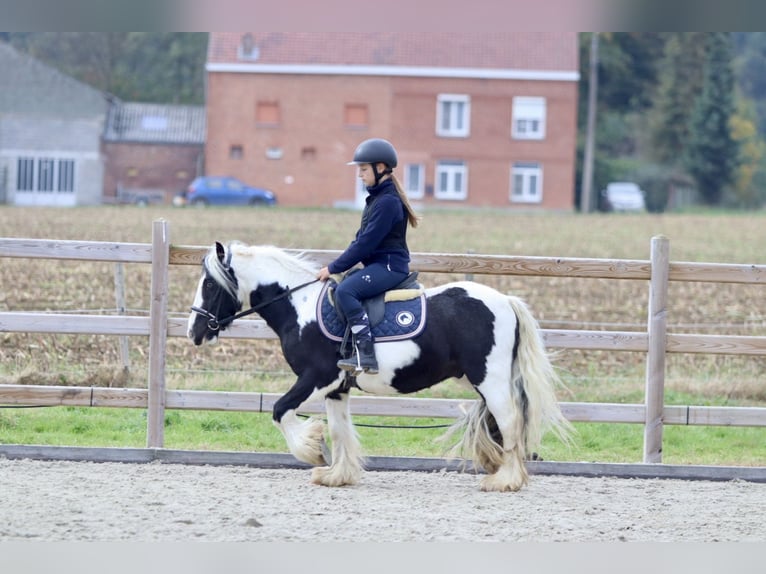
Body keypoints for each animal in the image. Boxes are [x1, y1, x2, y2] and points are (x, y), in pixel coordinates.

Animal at [186, 241, 568, 492]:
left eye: (210, 283)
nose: (193, 332)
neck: (301, 306)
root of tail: (505, 300)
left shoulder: (318, 377)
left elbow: (281, 411)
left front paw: (312, 450)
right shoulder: (337, 388)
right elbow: (339, 430)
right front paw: (337, 475)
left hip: (491, 379)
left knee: (511, 421)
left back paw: (506, 480)